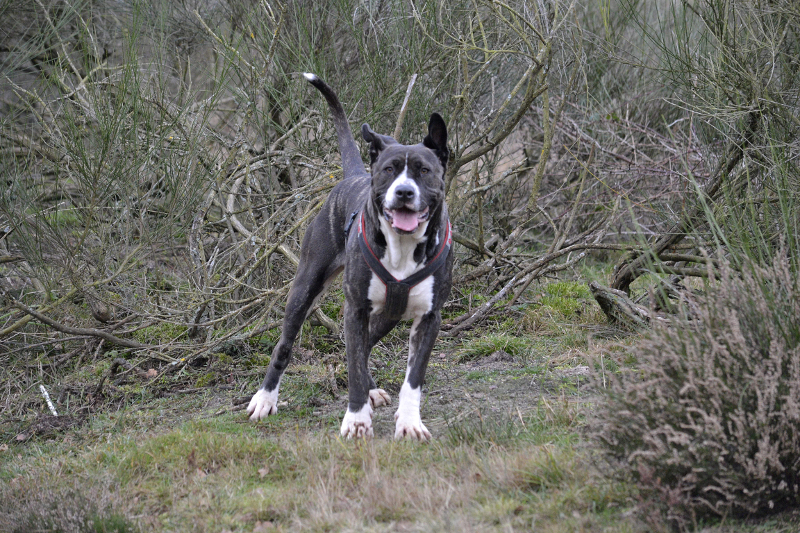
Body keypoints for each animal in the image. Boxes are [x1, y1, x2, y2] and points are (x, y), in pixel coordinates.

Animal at [246, 73, 453, 440]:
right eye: (389, 170)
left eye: (424, 171)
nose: (404, 192)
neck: (402, 246)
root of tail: (354, 174)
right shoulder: (354, 308)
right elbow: (354, 364)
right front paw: (357, 419)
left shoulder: (429, 317)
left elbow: (412, 378)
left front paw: (409, 422)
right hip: (304, 287)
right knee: (286, 345)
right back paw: (265, 398)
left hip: (387, 314)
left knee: (366, 345)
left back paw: (372, 390)